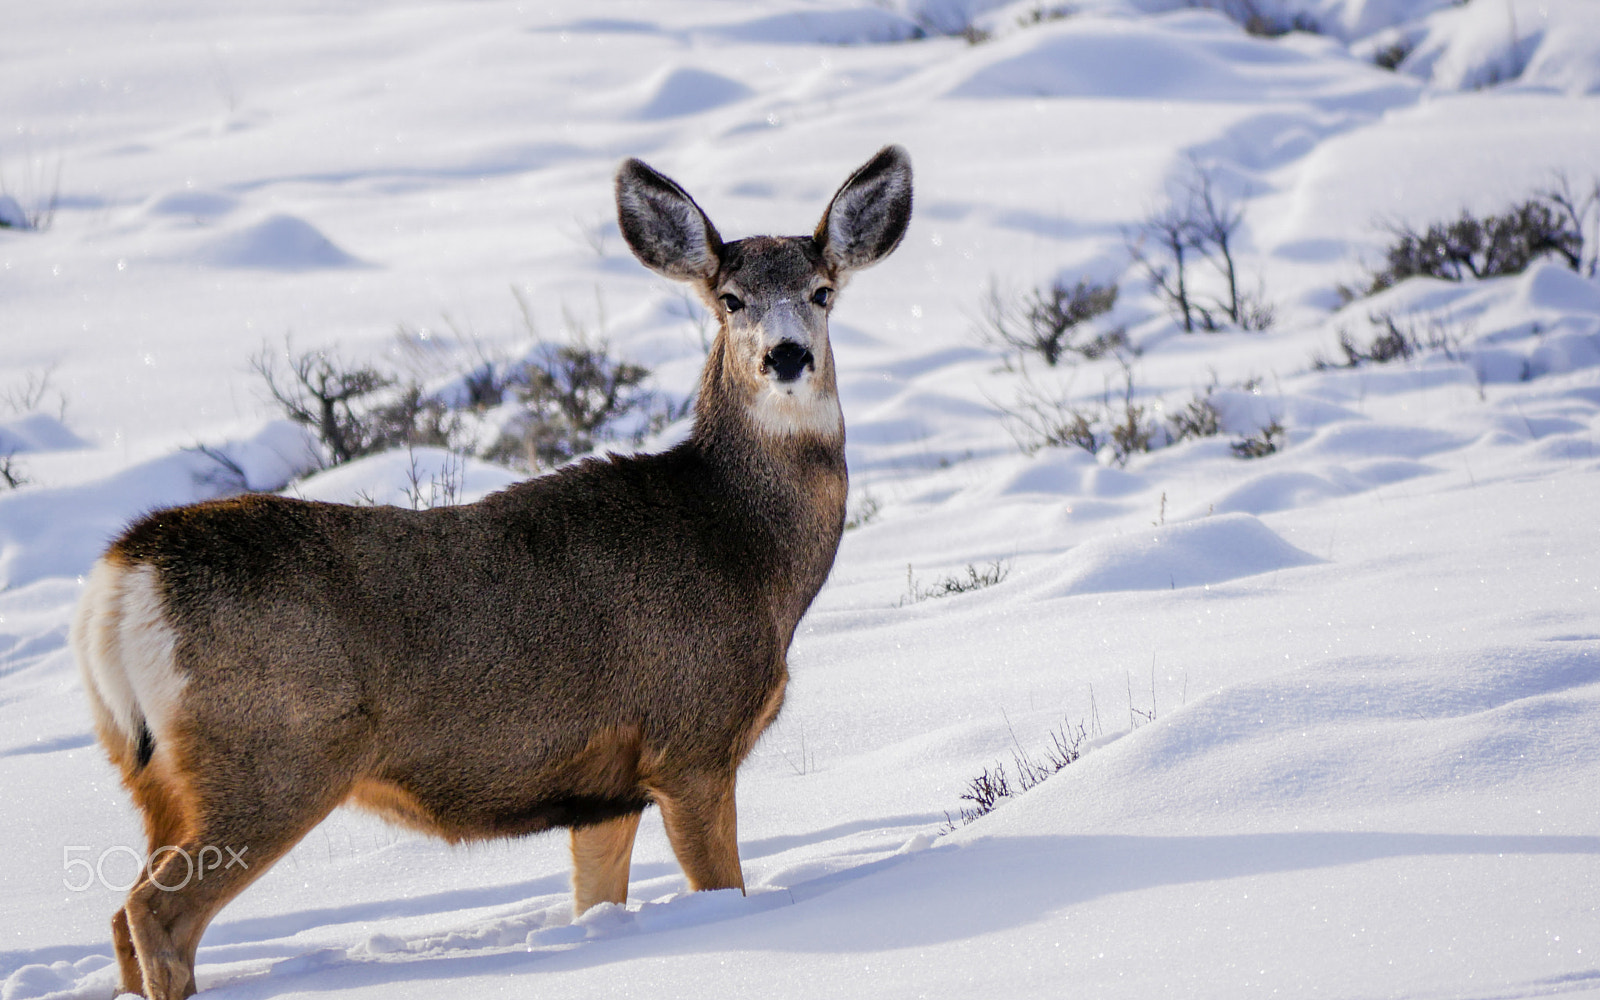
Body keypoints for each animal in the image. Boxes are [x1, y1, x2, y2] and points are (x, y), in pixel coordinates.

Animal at [71, 145, 912, 999]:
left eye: (823, 292)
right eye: (731, 299)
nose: (786, 355)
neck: (749, 554)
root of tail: (125, 573)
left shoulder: (605, 792)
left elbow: (595, 899)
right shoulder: (692, 742)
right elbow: (722, 890)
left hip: (153, 774)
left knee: (119, 917)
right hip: (270, 757)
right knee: (156, 914)